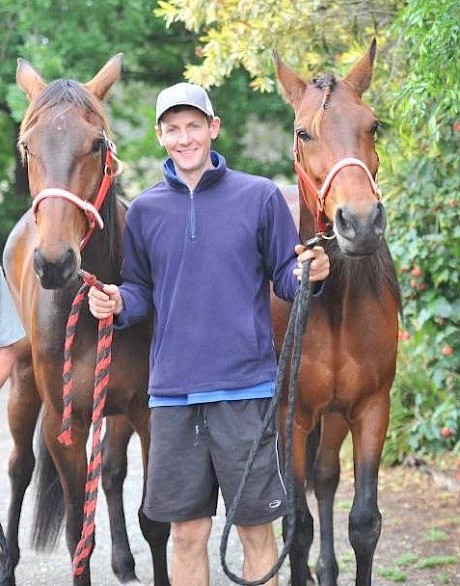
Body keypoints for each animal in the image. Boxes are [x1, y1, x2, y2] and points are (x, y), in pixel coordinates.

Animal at [1, 56, 171, 584]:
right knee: (20, 468)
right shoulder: (67, 421)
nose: (55, 262)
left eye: (97, 144)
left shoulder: (145, 412)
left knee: (112, 474)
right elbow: (78, 530)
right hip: (22, 382)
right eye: (26, 146)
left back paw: (123, 561)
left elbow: (154, 522)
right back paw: (8, 563)